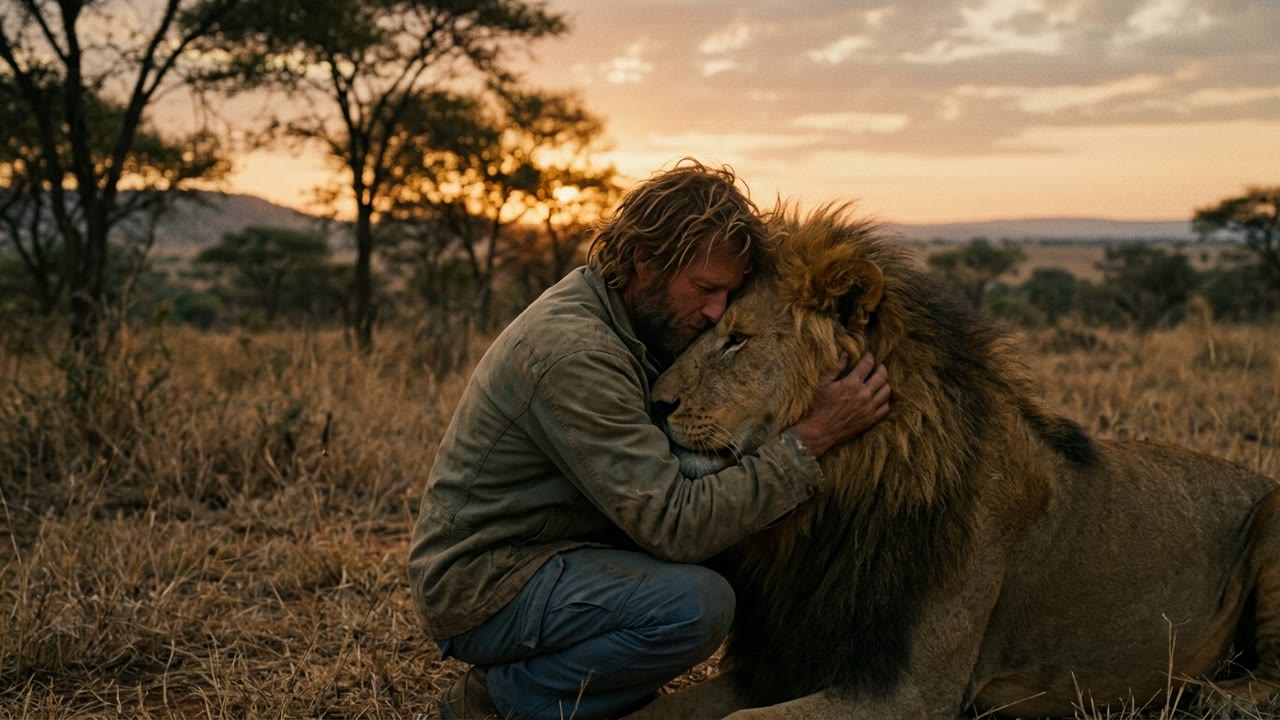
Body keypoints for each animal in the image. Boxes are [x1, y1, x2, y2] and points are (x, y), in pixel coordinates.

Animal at [632, 204, 1280, 719]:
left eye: (736, 339)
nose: (655, 404)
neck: (840, 496)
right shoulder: (776, 664)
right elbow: (661, 710)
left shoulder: (911, 691)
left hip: (1273, 511)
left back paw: (1214, 696)